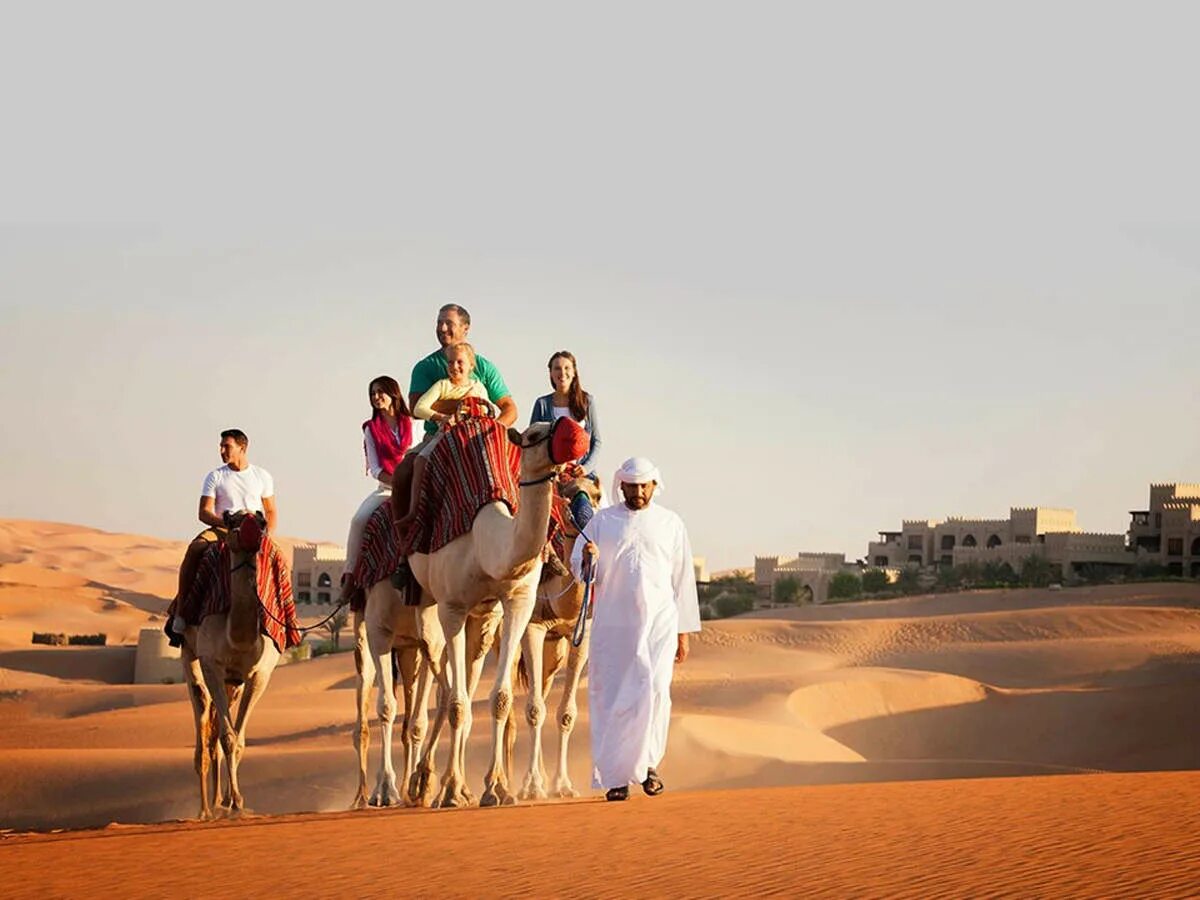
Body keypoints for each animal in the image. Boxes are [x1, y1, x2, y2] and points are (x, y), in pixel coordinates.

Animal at [408, 417, 585, 811]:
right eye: (534, 435)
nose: (574, 433)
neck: (485, 542)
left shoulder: (516, 602)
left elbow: (499, 698)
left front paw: (496, 788)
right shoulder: (452, 607)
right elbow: (458, 703)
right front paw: (454, 790)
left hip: (484, 619)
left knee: (459, 682)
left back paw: (446, 784)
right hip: (421, 604)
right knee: (436, 678)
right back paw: (421, 785)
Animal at [516, 475, 604, 801]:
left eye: (597, 495)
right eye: (565, 494)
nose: (586, 521)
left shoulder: (581, 633)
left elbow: (565, 713)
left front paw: (562, 786)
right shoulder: (532, 627)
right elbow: (533, 710)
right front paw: (531, 787)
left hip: (554, 650)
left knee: (541, 688)